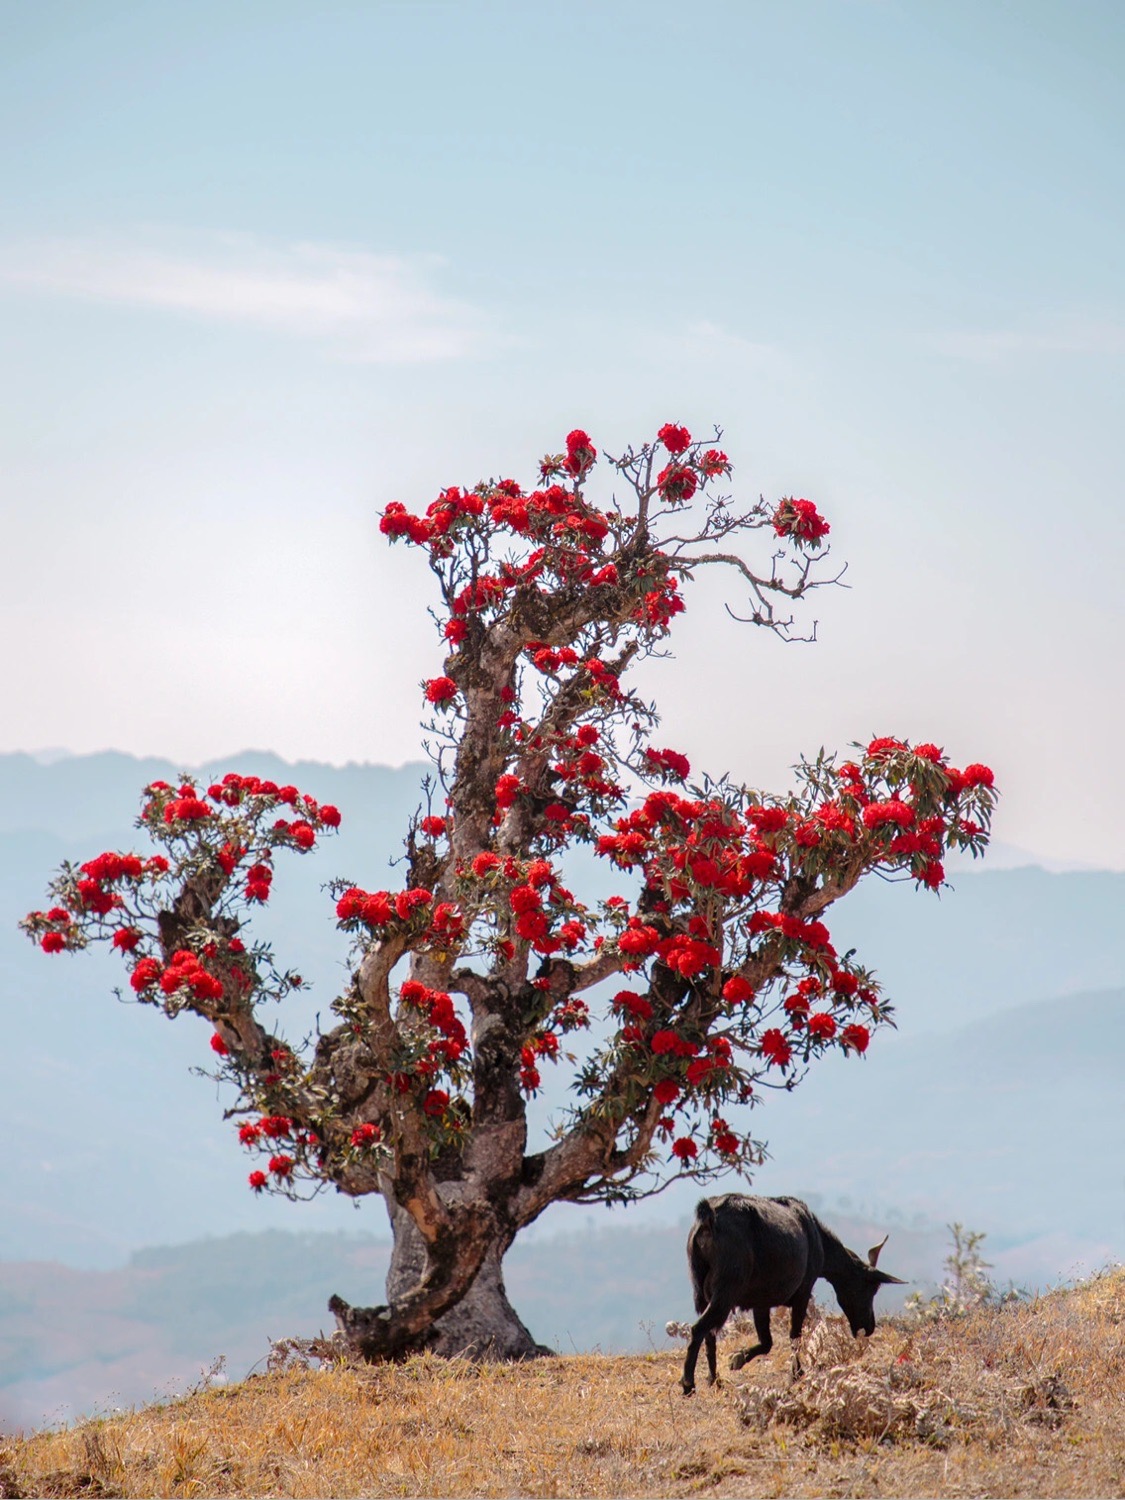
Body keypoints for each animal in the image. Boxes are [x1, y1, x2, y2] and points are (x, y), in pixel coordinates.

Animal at [678, 1194, 906, 1392]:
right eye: (870, 1288)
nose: (868, 1327)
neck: (817, 1239)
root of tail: (708, 1217)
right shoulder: (803, 1292)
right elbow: (795, 1335)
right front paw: (796, 1374)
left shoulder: (761, 1301)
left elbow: (767, 1342)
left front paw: (738, 1358)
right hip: (727, 1289)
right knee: (698, 1329)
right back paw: (688, 1384)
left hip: (699, 1289)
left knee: (709, 1333)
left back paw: (713, 1379)